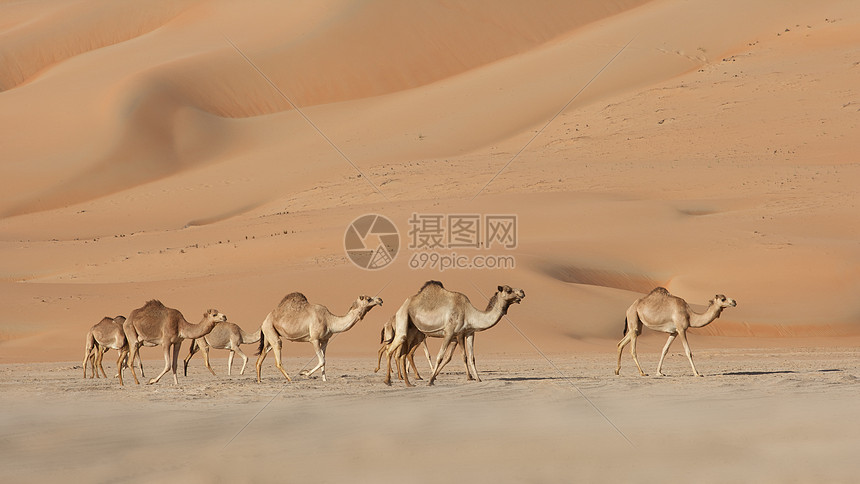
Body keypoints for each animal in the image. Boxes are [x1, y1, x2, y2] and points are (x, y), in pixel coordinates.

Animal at [384, 280, 524, 386]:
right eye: (508, 290)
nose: (522, 292)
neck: (469, 313)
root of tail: (402, 305)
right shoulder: (450, 332)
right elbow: (441, 356)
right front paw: (430, 381)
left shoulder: (469, 333)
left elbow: (471, 357)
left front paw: (478, 379)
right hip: (403, 320)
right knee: (391, 350)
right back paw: (388, 381)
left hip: (416, 334)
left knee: (404, 354)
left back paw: (408, 383)